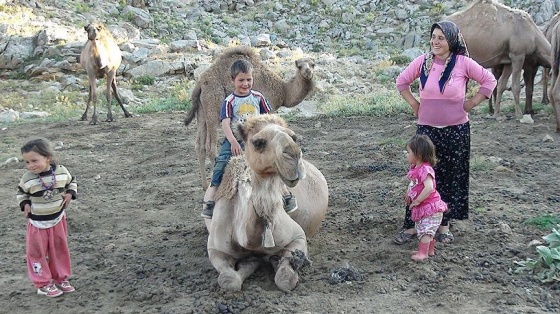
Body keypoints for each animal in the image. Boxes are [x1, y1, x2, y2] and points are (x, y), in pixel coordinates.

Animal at [184, 45, 316, 190]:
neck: (283, 91)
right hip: (213, 105)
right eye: (299, 66)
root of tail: (200, 83)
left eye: (313, 64)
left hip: (201, 111)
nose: (308, 72)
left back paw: (205, 185)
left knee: (199, 145)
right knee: (210, 147)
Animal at [206, 114, 328, 292]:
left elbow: (285, 279)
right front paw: (251, 262)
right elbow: (229, 281)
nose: (294, 155)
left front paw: (273, 261)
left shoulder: (298, 236)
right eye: (259, 142)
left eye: (294, 137)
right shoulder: (215, 248)